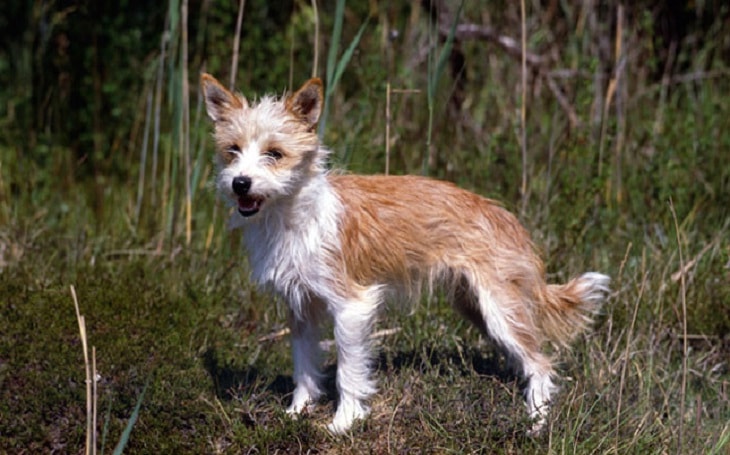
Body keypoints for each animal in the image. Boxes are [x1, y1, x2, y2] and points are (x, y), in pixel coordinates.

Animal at [199, 73, 608, 436]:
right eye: (232, 151)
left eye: (275, 154)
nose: (240, 183)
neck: (291, 215)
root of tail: (509, 220)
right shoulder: (300, 309)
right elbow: (304, 368)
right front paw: (297, 413)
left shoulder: (352, 307)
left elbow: (348, 372)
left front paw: (343, 423)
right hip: (476, 307)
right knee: (526, 356)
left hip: (499, 310)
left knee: (541, 363)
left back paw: (536, 422)